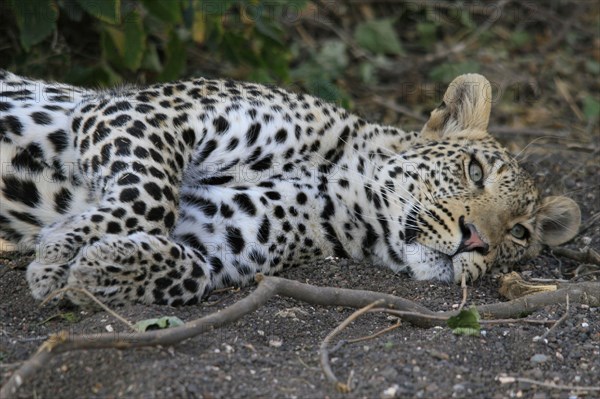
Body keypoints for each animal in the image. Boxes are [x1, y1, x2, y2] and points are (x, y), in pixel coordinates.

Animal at [1, 70, 580, 306]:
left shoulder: (221, 241)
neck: (346, 192)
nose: (477, 240)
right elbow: (149, 196)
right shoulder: (140, 112)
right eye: (474, 170)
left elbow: (188, 269)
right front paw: (60, 253)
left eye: (518, 233)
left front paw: (92, 268)